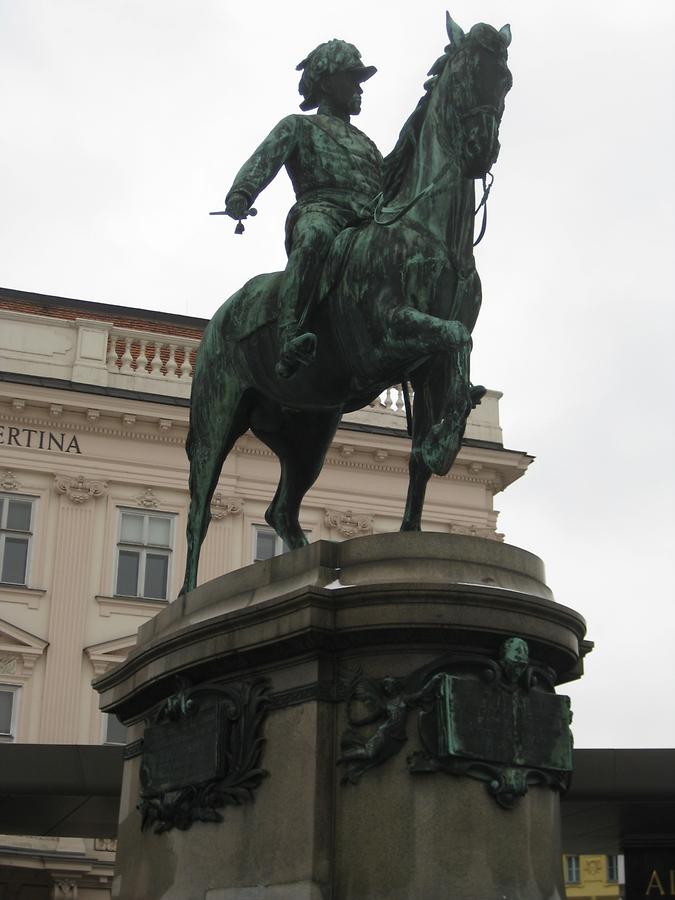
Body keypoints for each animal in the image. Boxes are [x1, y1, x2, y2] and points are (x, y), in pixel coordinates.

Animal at [180, 17, 512, 596]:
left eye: (507, 81)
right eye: (469, 72)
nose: (481, 148)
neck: (430, 234)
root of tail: (223, 314)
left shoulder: (426, 368)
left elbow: (423, 447)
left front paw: (422, 495)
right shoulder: (386, 340)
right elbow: (456, 335)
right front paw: (444, 442)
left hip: (309, 432)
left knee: (281, 511)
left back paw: (301, 563)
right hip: (217, 418)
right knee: (200, 507)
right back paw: (187, 597)